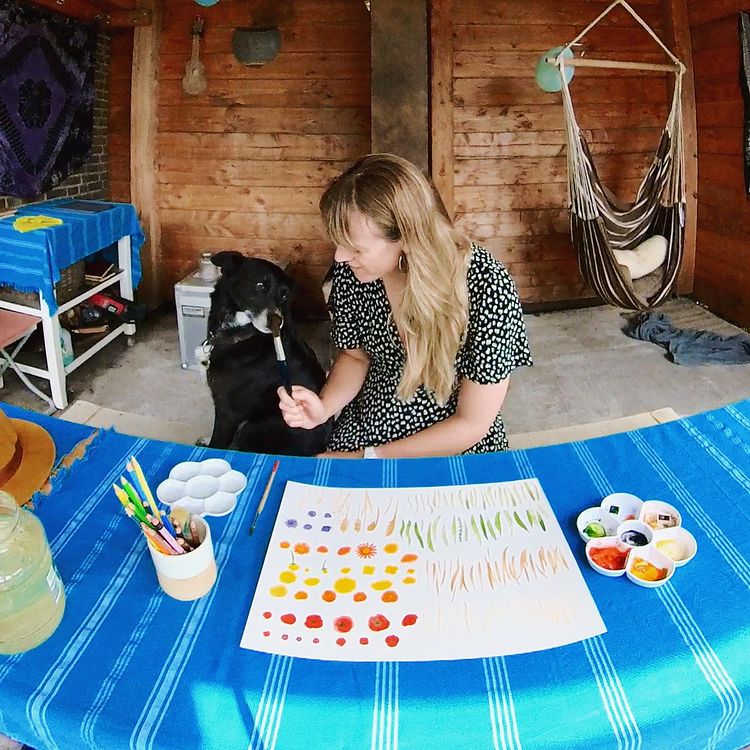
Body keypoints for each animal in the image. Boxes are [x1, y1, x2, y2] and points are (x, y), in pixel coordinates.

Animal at [206, 253, 334, 456]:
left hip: (250, 430)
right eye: (260, 285)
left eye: (284, 294)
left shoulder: (227, 411)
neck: (243, 332)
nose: (276, 320)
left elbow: (216, 444)